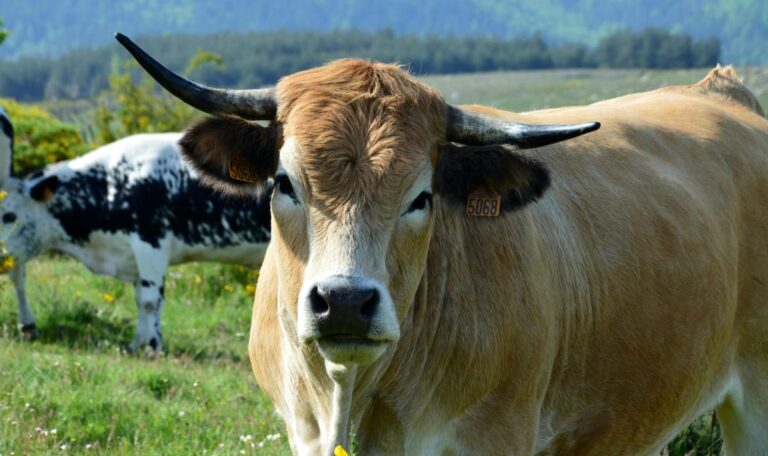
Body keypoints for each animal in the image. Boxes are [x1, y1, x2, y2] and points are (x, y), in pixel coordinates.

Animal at [0, 130, 271, 352]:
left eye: (9, 216)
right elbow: (141, 299)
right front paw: (138, 343)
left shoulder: (151, 244)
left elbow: (151, 301)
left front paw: (152, 347)